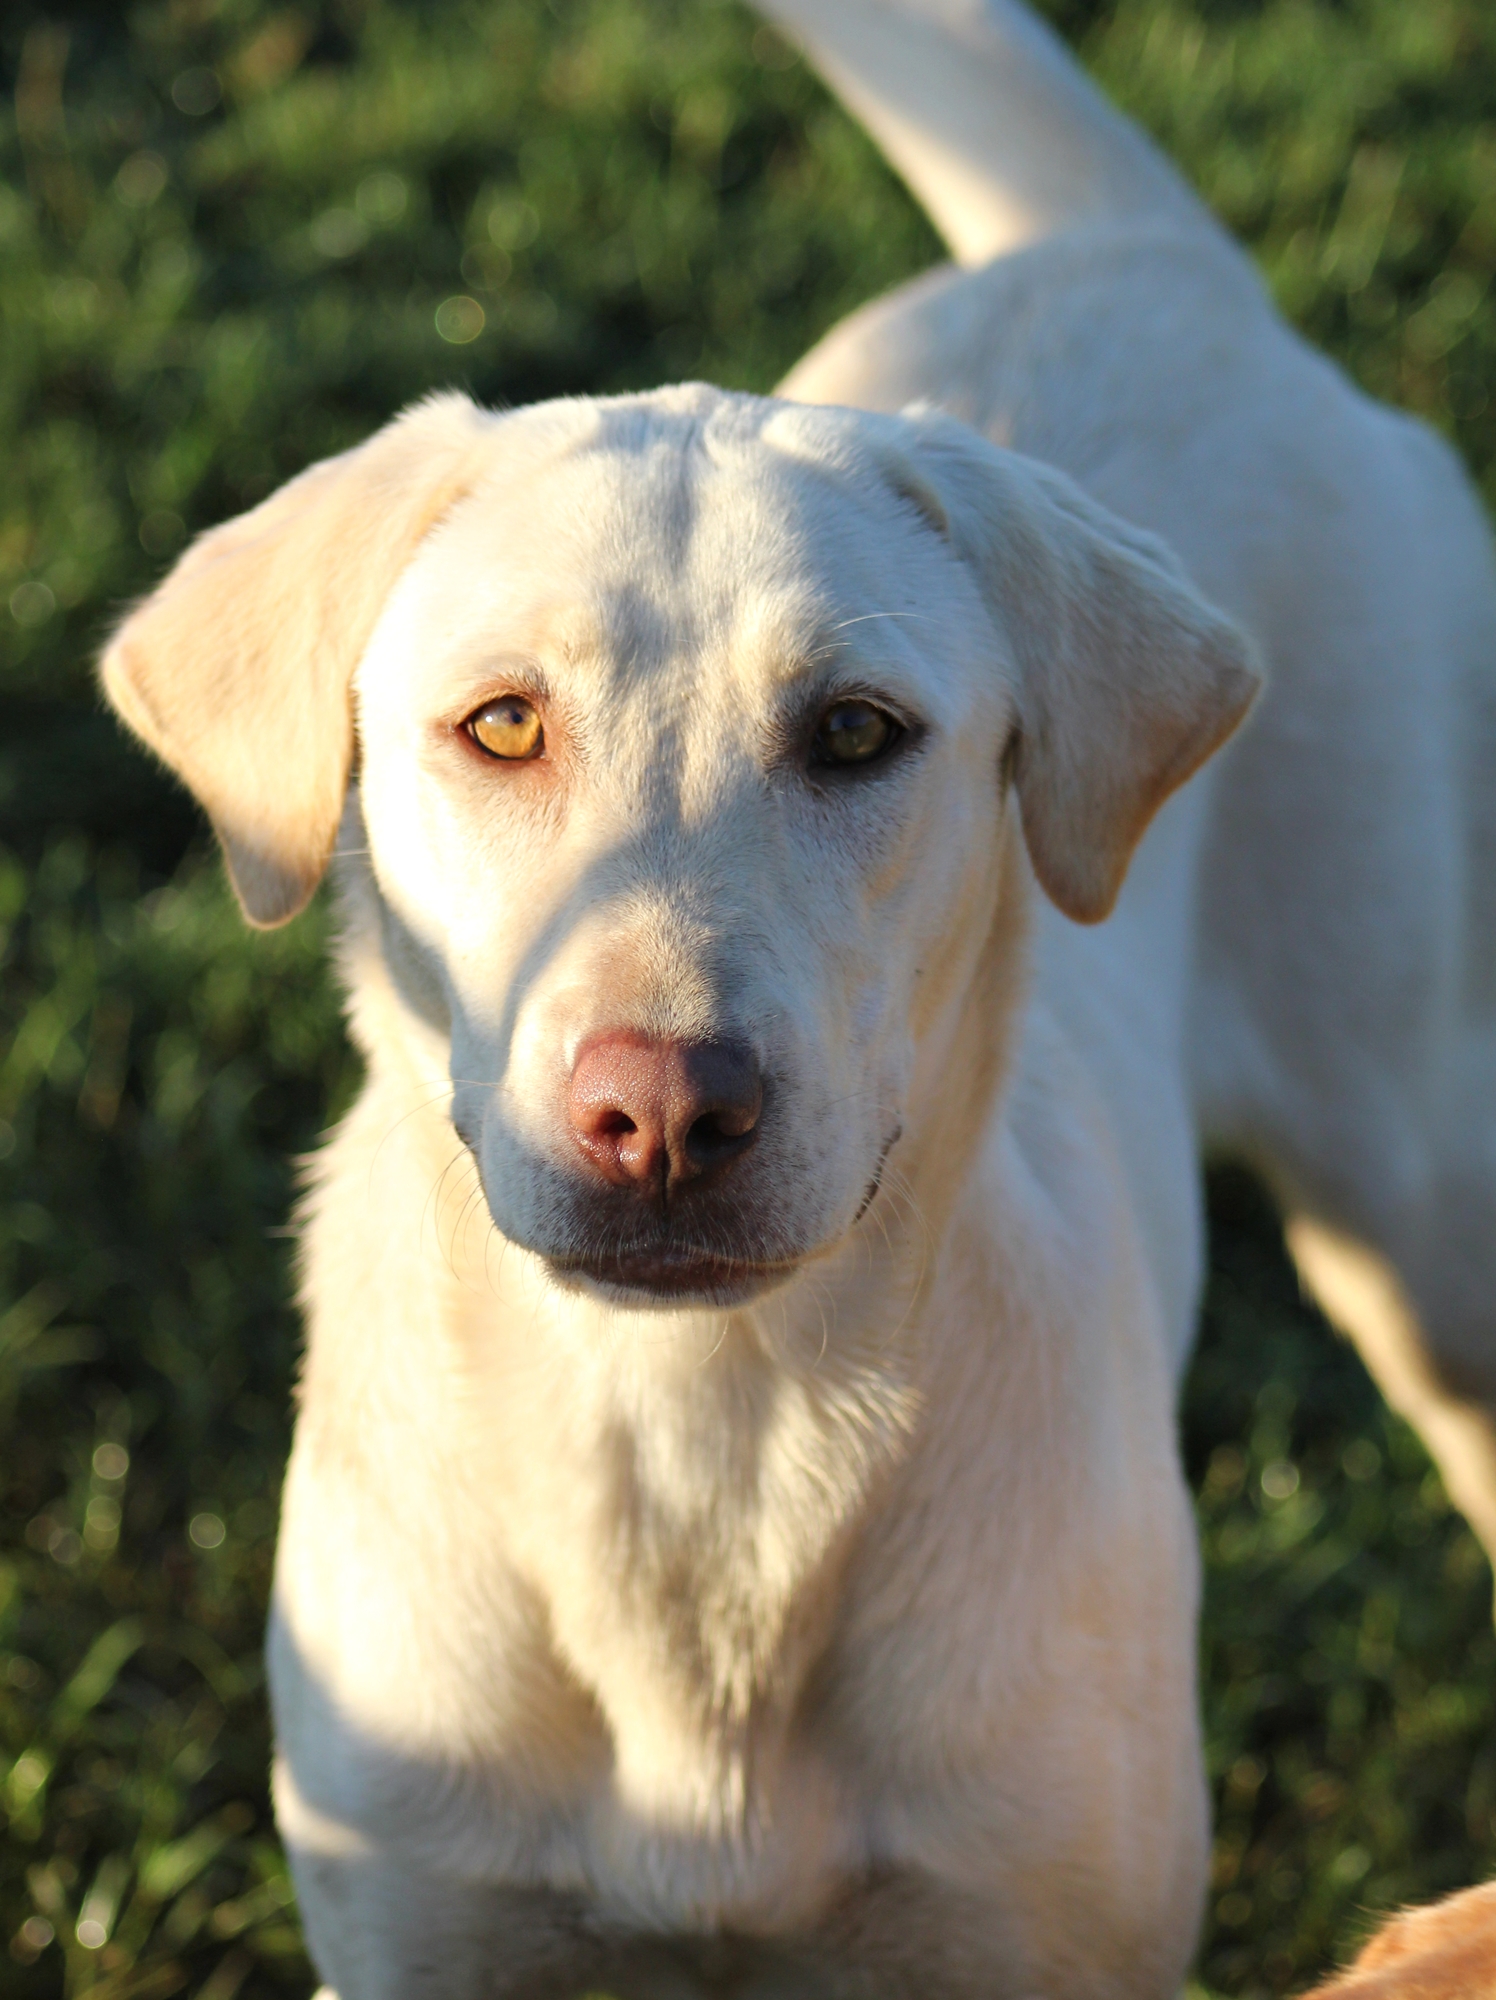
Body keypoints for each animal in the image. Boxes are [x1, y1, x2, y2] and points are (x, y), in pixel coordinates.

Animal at [99, 3, 1496, 2000]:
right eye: (501, 723)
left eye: (853, 733)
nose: (665, 1112)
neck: (702, 1448)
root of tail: (1127, 251)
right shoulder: (427, 1919)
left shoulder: (1035, 1926)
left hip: (1421, 1199)